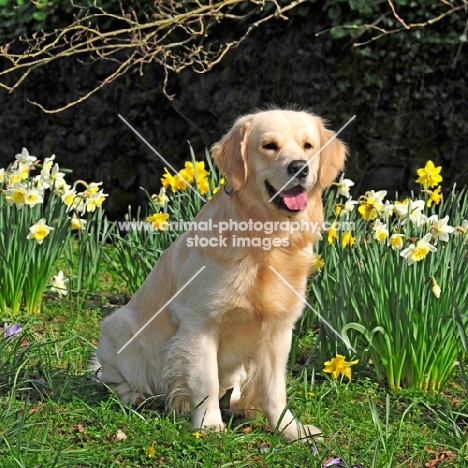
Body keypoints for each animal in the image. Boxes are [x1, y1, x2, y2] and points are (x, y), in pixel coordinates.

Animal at [95, 108, 346, 440]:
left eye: (308, 145)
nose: (299, 168)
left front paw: (290, 429)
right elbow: (206, 382)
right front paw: (209, 425)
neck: (265, 242)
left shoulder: (279, 329)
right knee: (116, 380)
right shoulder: (199, 323)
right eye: (269, 146)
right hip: (117, 329)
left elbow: (275, 390)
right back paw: (140, 396)